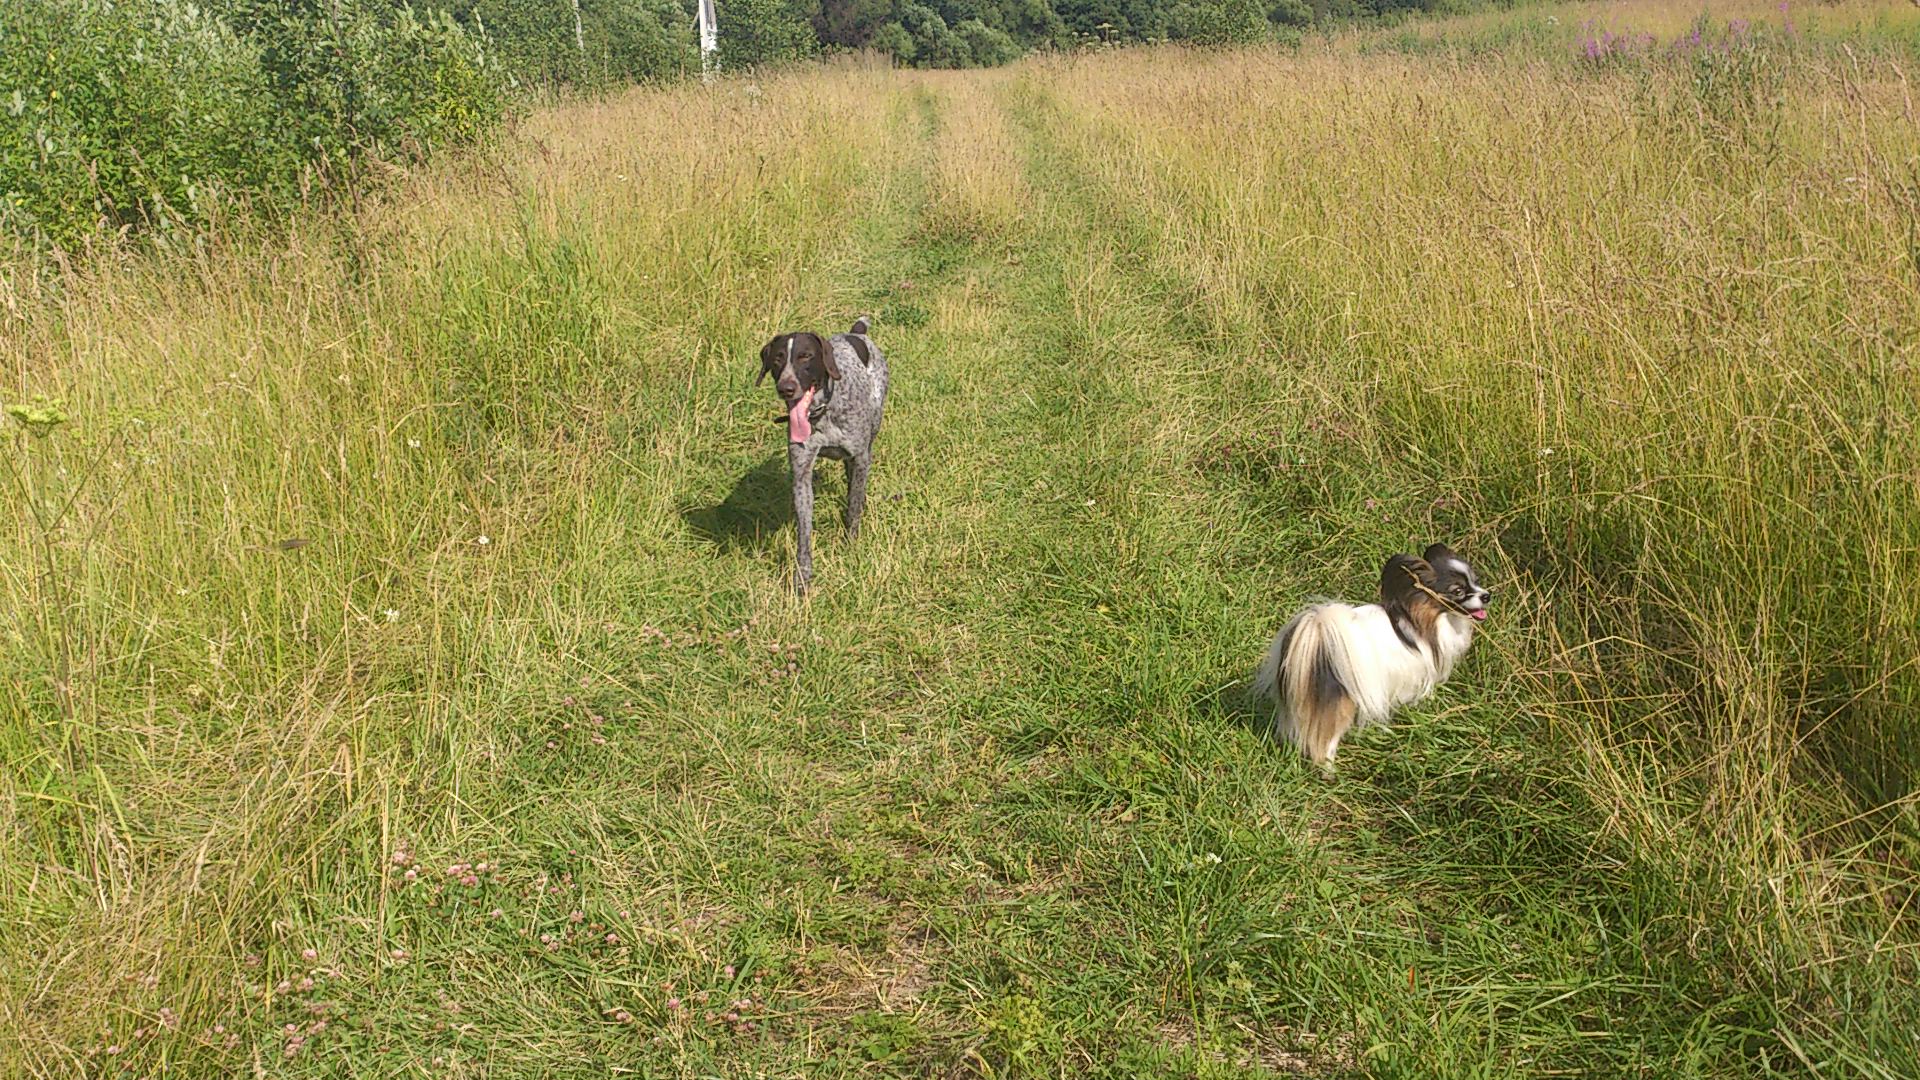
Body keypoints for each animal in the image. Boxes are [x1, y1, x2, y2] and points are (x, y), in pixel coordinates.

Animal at [757, 317, 888, 594]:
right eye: (777, 359)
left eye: (806, 356)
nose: (786, 388)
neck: (821, 414)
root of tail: (856, 332)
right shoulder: (801, 477)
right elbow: (804, 534)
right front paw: (802, 578)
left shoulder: (860, 458)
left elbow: (853, 508)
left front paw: (851, 545)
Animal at [1252, 544, 1490, 769]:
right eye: (1458, 591)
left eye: (1476, 582)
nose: (1487, 595)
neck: (1422, 619)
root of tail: (1315, 638)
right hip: (1342, 705)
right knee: (1325, 743)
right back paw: (1330, 771)